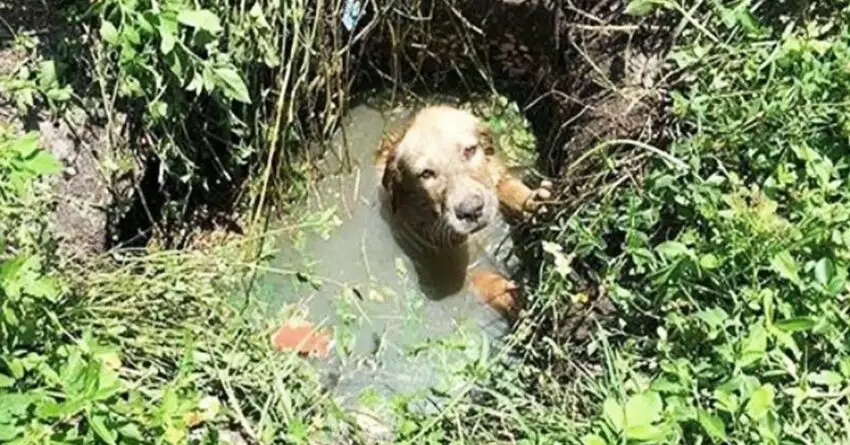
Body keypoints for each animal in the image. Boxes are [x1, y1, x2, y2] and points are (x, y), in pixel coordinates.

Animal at [372, 104, 548, 320]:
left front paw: (533, 200)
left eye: (470, 150)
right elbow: (481, 278)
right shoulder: (447, 262)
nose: (471, 210)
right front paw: (513, 296)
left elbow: (507, 188)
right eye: (426, 174)